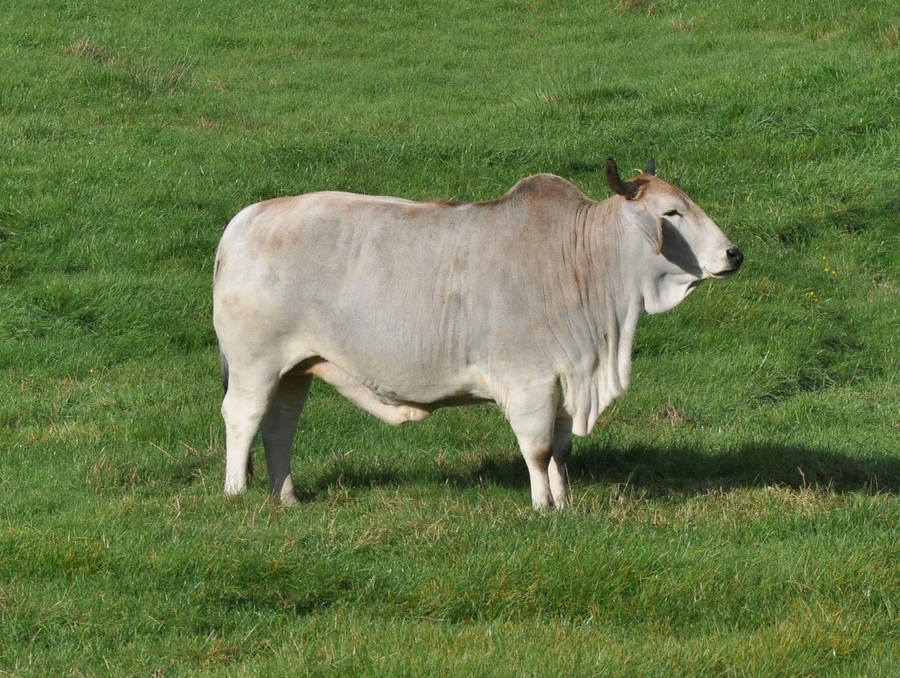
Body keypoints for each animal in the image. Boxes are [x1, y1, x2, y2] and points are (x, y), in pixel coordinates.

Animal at [212, 158, 743, 509]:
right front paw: (542, 506)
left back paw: (286, 498)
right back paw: (237, 493)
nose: (733, 253)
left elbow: (562, 450)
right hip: (254, 364)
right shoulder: (529, 380)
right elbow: (538, 448)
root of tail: (246, 219)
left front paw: (565, 501)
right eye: (671, 213)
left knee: (279, 427)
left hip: (295, 369)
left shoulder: (567, 378)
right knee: (243, 417)